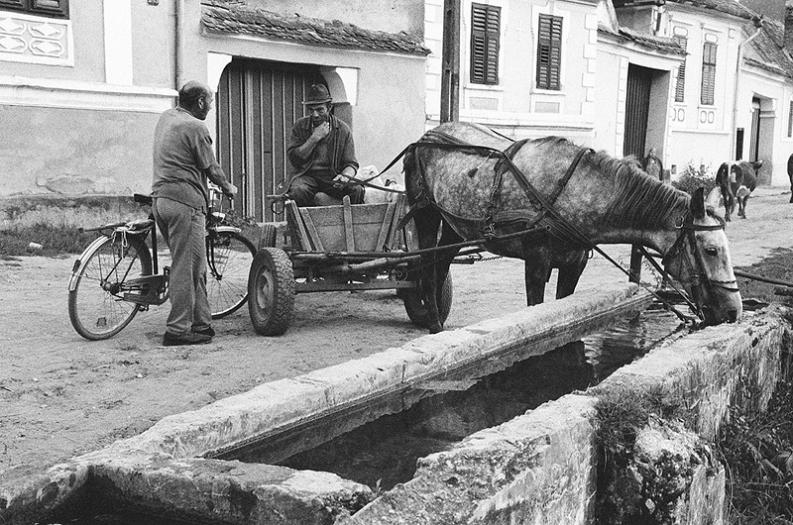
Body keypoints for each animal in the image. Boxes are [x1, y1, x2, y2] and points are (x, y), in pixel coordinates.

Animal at [402, 122, 744, 332]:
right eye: (711, 250)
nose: (734, 311)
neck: (574, 189)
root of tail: (426, 137)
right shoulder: (536, 260)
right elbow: (536, 310)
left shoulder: (574, 263)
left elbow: (563, 307)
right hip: (426, 213)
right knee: (426, 266)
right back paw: (433, 323)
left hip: (454, 224)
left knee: (440, 264)